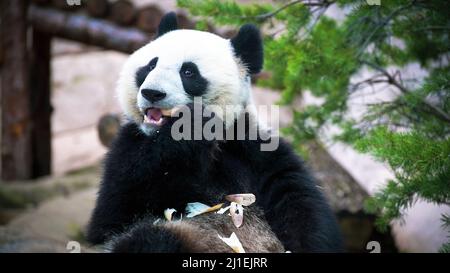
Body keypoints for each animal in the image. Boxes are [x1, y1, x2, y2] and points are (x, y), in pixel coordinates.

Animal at [86, 12, 342, 251]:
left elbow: (299, 202)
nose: (152, 93)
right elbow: (112, 214)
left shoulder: (254, 149)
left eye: (188, 72)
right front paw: (190, 125)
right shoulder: (129, 145)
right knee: (149, 239)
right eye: (150, 66)